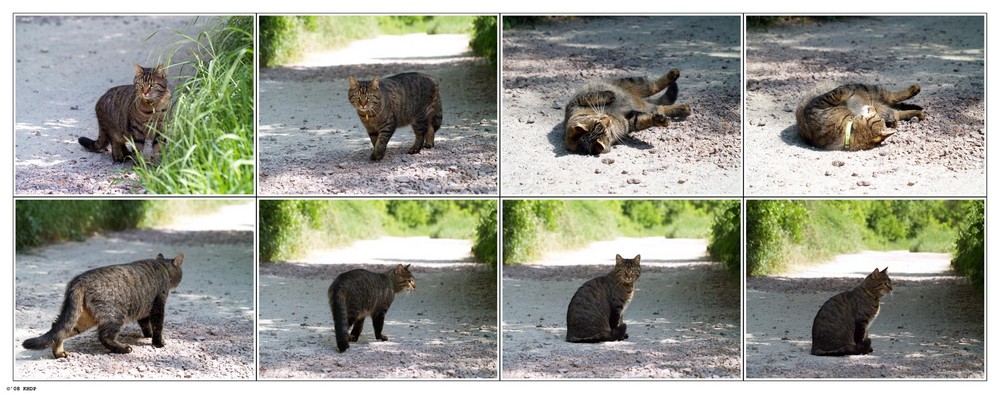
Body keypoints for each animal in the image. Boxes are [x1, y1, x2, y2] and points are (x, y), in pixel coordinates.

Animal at [22, 252, 185, 358]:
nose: (181, 280)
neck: (161, 266)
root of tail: (78, 281)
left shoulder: (145, 309)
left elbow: (146, 324)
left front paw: (148, 334)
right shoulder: (158, 305)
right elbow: (157, 326)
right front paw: (158, 342)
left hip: (81, 320)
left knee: (59, 330)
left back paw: (59, 352)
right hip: (115, 316)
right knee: (104, 336)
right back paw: (123, 348)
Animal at [564, 68, 696, 155]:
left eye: (598, 120)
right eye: (606, 129)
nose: (607, 118)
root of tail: (636, 98)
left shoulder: (575, 102)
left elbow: (592, 96)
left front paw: (609, 95)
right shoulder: (629, 121)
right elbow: (644, 120)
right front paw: (660, 120)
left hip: (632, 82)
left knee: (654, 86)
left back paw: (673, 74)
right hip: (648, 105)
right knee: (661, 106)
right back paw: (684, 108)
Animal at [796, 83, 928, 151]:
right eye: (876, 116)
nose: (872, 107)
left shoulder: (817, 104)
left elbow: (838, 91)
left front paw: (846, 90)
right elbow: (838, 92)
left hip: (873, 91)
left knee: (892, 97)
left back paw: (915, 90)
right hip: (882, 104)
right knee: (895, 109)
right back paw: (918, 112)